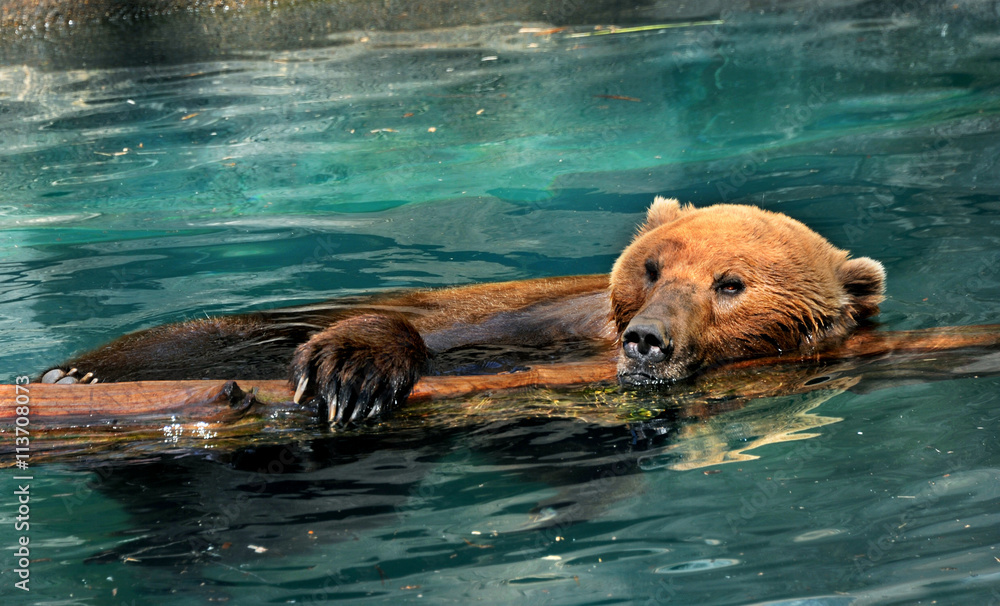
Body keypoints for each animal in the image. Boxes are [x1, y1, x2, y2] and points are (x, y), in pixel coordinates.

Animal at [39, 197, 886, 425]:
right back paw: (73, 378)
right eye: (652, 266)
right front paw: (353, 373)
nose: (648, 338)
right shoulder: (534, 320)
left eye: (731, 283)